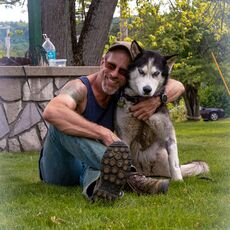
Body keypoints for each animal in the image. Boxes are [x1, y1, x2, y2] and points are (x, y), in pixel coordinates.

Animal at [115, 41, 208, 181]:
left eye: (156, 73)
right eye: (141, 71)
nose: (147, 89)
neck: (141, 100)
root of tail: (146, 171)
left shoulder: (168, 132)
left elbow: (174, 162)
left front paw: (178, 181)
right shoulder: (124, 134)